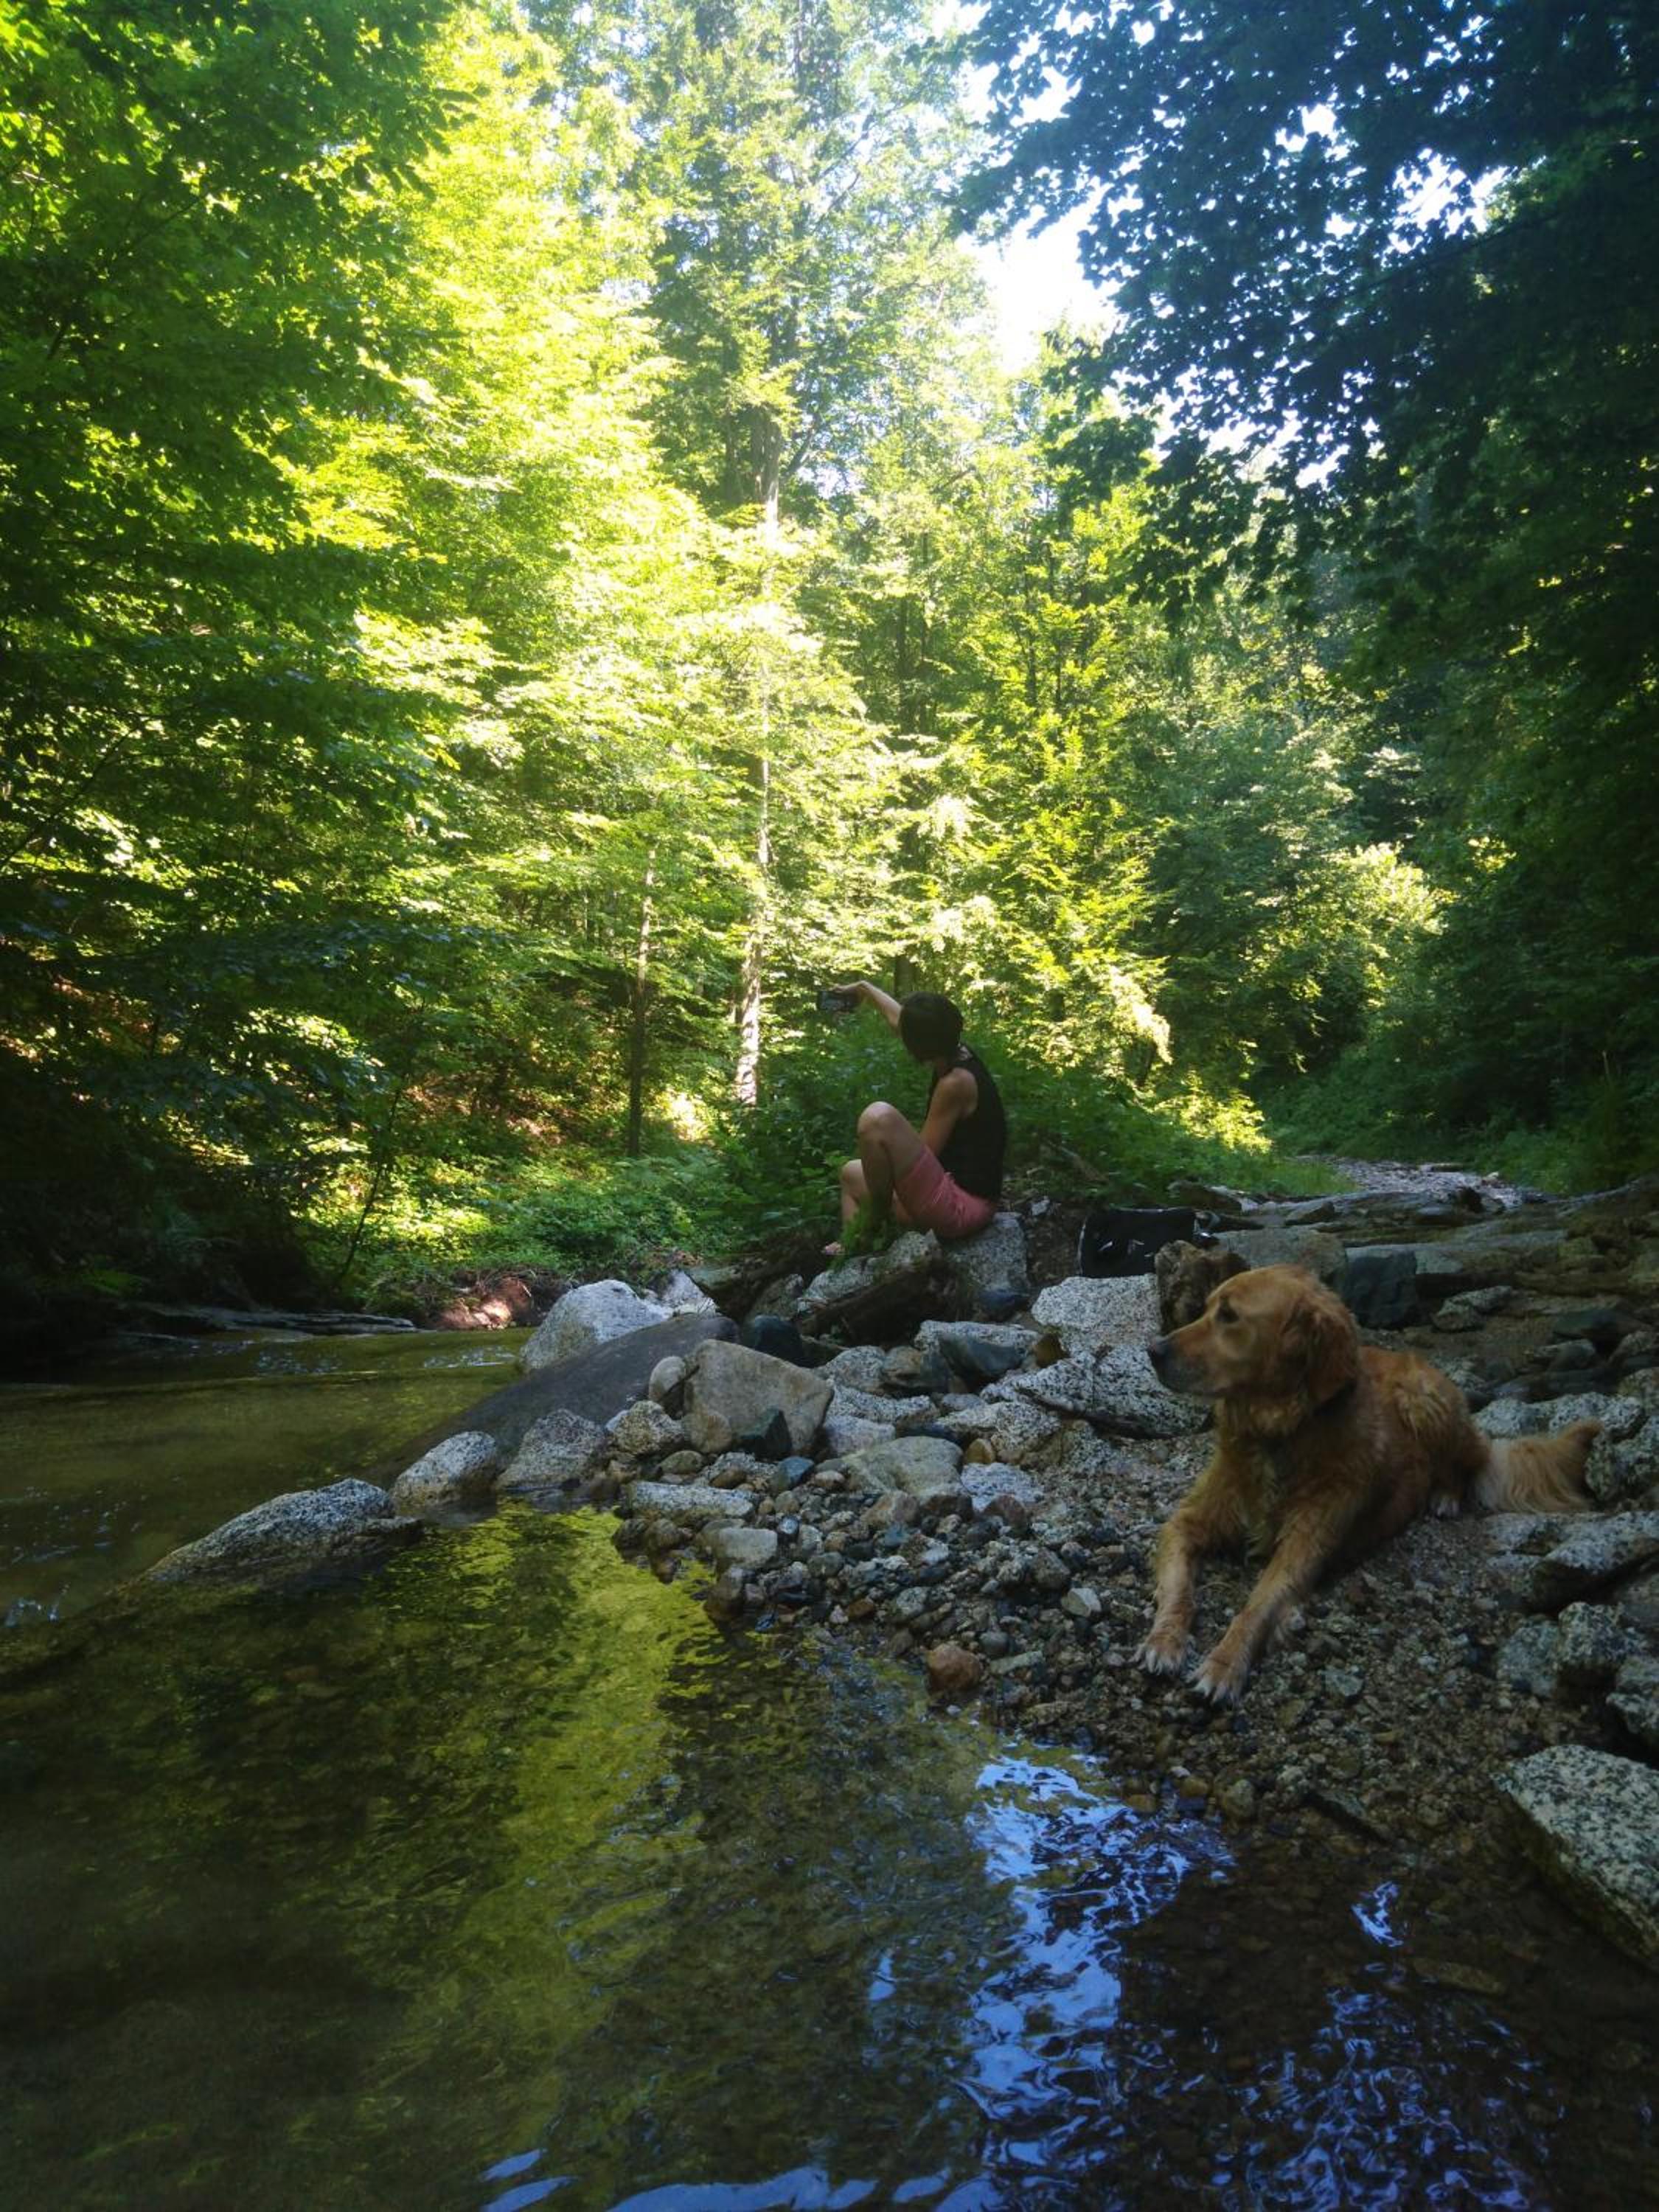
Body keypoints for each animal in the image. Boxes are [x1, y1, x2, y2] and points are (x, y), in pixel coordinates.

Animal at [1137, 1264, 1599, 1704]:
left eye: (1230, 1316)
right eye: (1206, 1307)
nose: (1153, 1351)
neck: (1279, 1434)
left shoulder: (1305, 1545)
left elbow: (1257, 1607)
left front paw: (1225, 1664)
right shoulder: (1186, 1523)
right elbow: (1178, 1586)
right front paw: (1164, 1640)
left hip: (1424, 1399)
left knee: (1467, 1464)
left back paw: (1445, 1497)